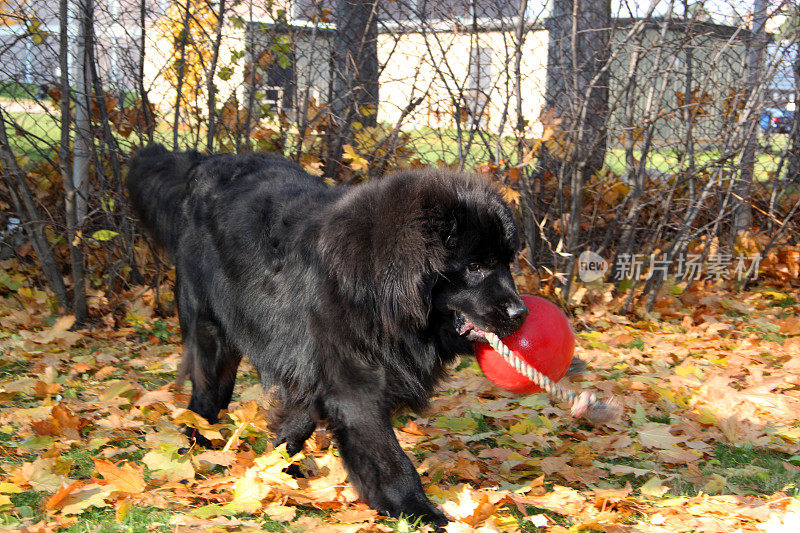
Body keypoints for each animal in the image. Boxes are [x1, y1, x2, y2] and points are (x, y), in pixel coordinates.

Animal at [128, 144, 528, 524]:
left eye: (507, 263)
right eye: (474, 267)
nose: (520, 313)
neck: (375, 287)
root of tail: (204, 164)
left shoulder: (314, 367)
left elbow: (301, 418)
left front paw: (278, 467)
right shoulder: (352, 383)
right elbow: (389, 456)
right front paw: (419, 510)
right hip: (212, 329)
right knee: (207, 395)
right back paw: (194, 446)